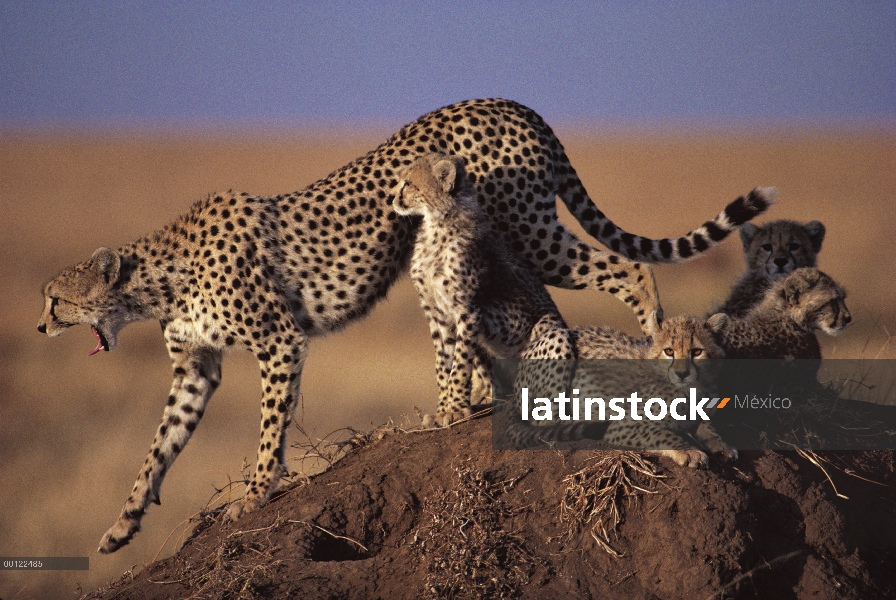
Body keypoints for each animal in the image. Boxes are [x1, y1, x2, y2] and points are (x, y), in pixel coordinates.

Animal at [35, 98, 768, 552]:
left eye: (55, 301)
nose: (40, 328)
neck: (155, 281)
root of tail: (507, 100)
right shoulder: (197, 366)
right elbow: (159, 445)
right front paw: (123, 524)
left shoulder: (278, 342)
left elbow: (269, 428)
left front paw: (254, 494)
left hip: (527, 230)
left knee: (628, 269)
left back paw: (647, 343)